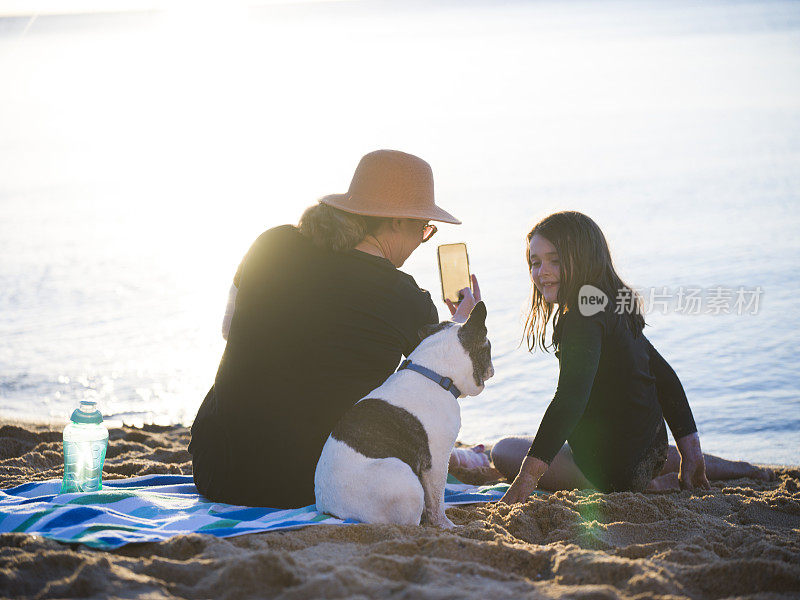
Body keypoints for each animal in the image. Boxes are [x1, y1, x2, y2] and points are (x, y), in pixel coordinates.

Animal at [314, 302, 494, 528]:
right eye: (489, 348)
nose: (492, 369)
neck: (432, 372)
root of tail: (334, 513)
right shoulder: (437, 461)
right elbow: (437, 499)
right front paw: (446, 525)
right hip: (404, 477)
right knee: (410, 521)